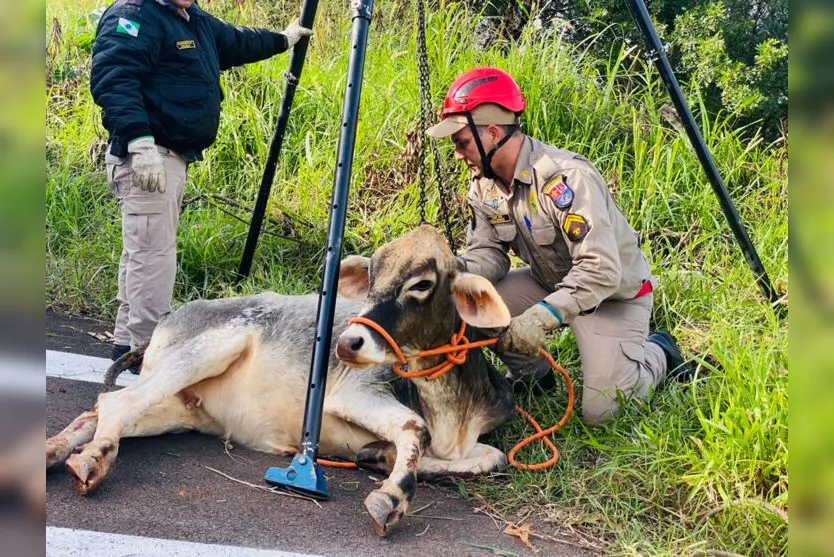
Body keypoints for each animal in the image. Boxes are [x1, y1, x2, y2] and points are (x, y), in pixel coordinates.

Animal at [45, 225, 516, 536]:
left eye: (422, 283)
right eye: (372, 277)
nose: (347, 343)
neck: (452, 409)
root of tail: (171, 317)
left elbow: (494, 459)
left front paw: (377, 457)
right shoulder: (354, 391)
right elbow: (415, 428)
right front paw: (392, 495)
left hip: (180, 407)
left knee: (96, 413)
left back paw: (52, 452)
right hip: (204, 352)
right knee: (114, 404)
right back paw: (91, 460)